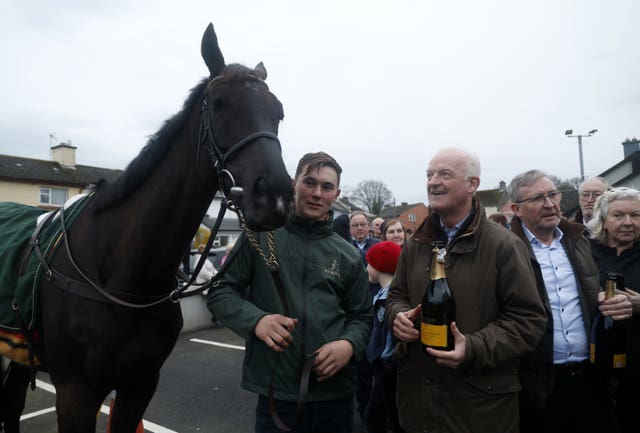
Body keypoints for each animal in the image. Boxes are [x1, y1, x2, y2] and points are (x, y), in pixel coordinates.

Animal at [10, 23, 292, 432]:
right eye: (219, 102)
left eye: (279, 112)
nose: (276, 196)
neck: (121, 273)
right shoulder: (75, 395)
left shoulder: (139, 387)